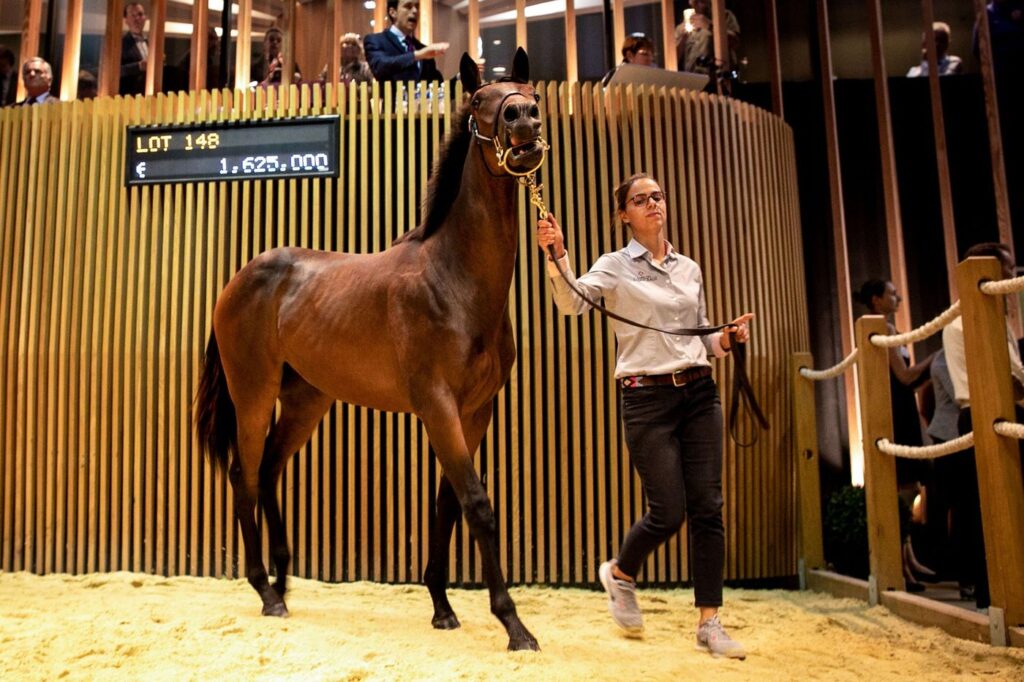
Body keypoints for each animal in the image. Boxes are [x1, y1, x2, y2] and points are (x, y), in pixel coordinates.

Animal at [194, 50, 545, 652]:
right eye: (481, 100)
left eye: (531, 92)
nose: (522, 120)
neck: (454, 281)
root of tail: (239, 279)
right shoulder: (437, 406)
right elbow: (477, 504)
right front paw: (514, 625)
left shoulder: (476, 411)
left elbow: (448, 502)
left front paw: (442, 608)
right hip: (253, 393)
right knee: (245, 474)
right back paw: (265, 592)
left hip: (306, 402)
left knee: (270, 470)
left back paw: (284, 585)